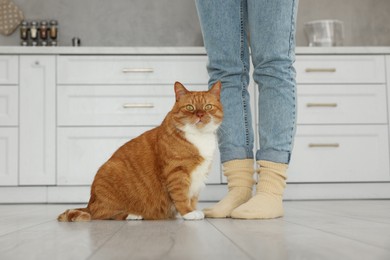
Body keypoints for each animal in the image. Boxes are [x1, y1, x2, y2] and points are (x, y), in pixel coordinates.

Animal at [58, 81, 222, 221]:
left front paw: (193, 210)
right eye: (190, 107)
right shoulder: (177, 172)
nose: (200, 114)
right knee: (102, 214)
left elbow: (192, 197)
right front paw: (188, 213)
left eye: (208, 107)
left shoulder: (199, 175)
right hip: (110, 172)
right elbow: (181, 195)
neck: (199, 137)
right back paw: (133, 215)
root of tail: (89, 203)